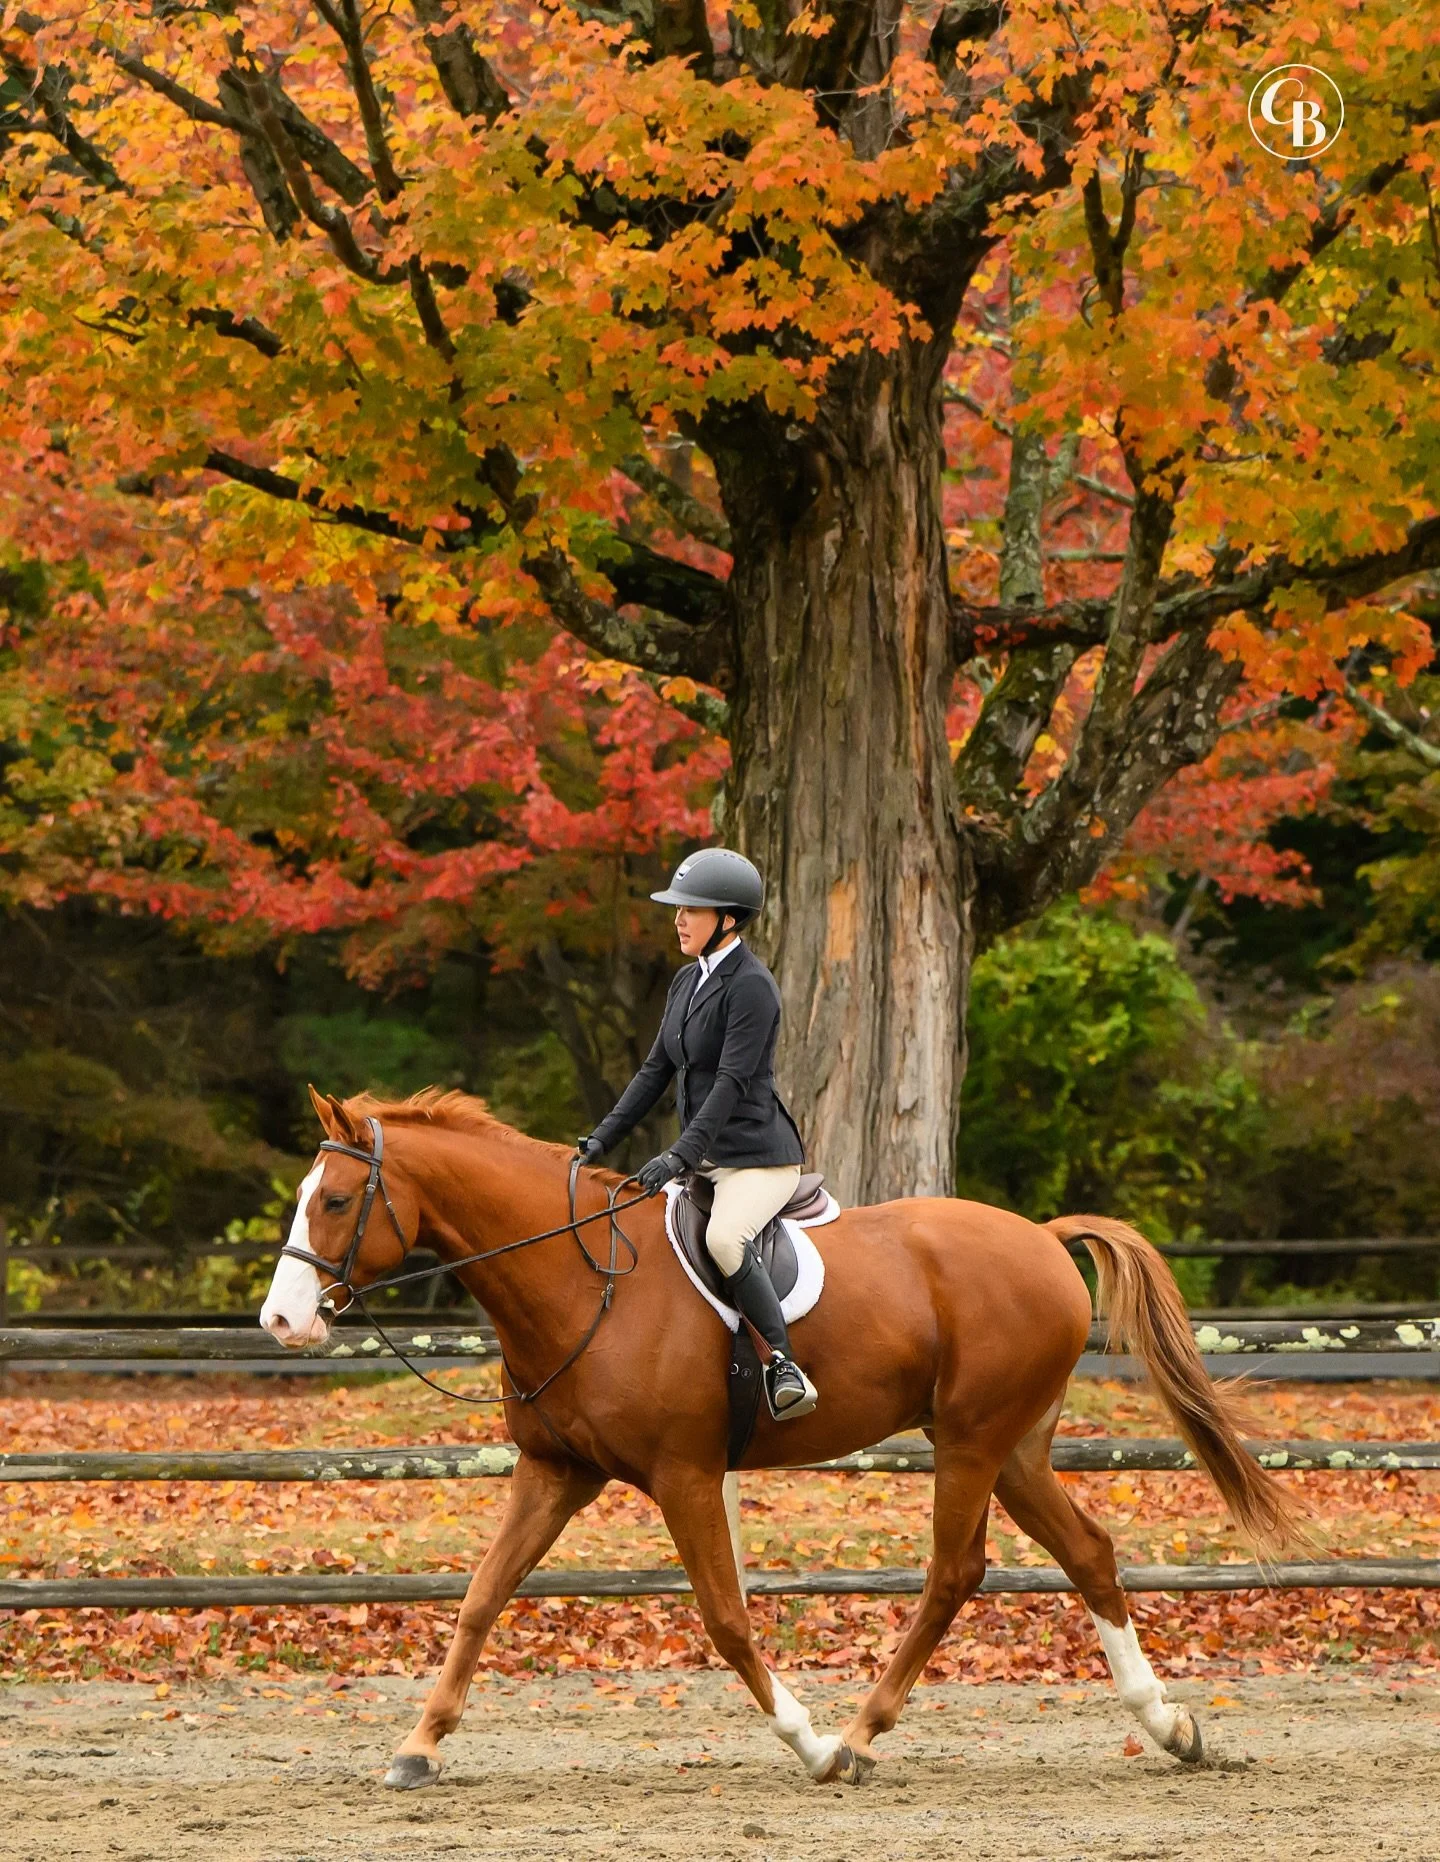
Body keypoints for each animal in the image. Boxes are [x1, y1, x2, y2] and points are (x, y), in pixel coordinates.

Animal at [259, 1087, 1296, 1788]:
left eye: (338, 1201)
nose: (280, 1321)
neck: (580, 1279)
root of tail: (1041, 1236)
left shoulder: (684, 1475)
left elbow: (725, 1618)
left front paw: (810, 1741)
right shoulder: (555, 1470)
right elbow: (479, 1599)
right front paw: (418, 1748)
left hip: (971, 1442)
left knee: (954, 1573)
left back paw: (860, 1736)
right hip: (1013, 1448)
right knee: (1087, 1553)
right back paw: (1171, 1728)